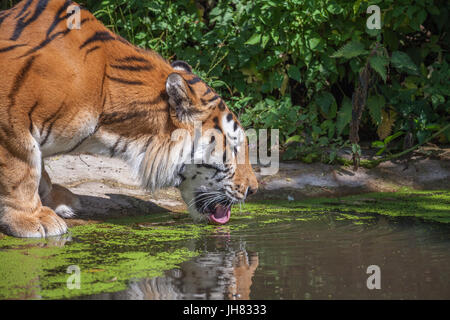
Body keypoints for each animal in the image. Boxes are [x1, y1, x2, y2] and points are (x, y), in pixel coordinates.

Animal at [0, 0, 256, 238]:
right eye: (233, 148)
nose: (253, 190)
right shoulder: (11, 121)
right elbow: (23, 169)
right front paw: (32, 218)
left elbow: (39, 166)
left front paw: (56, 200)